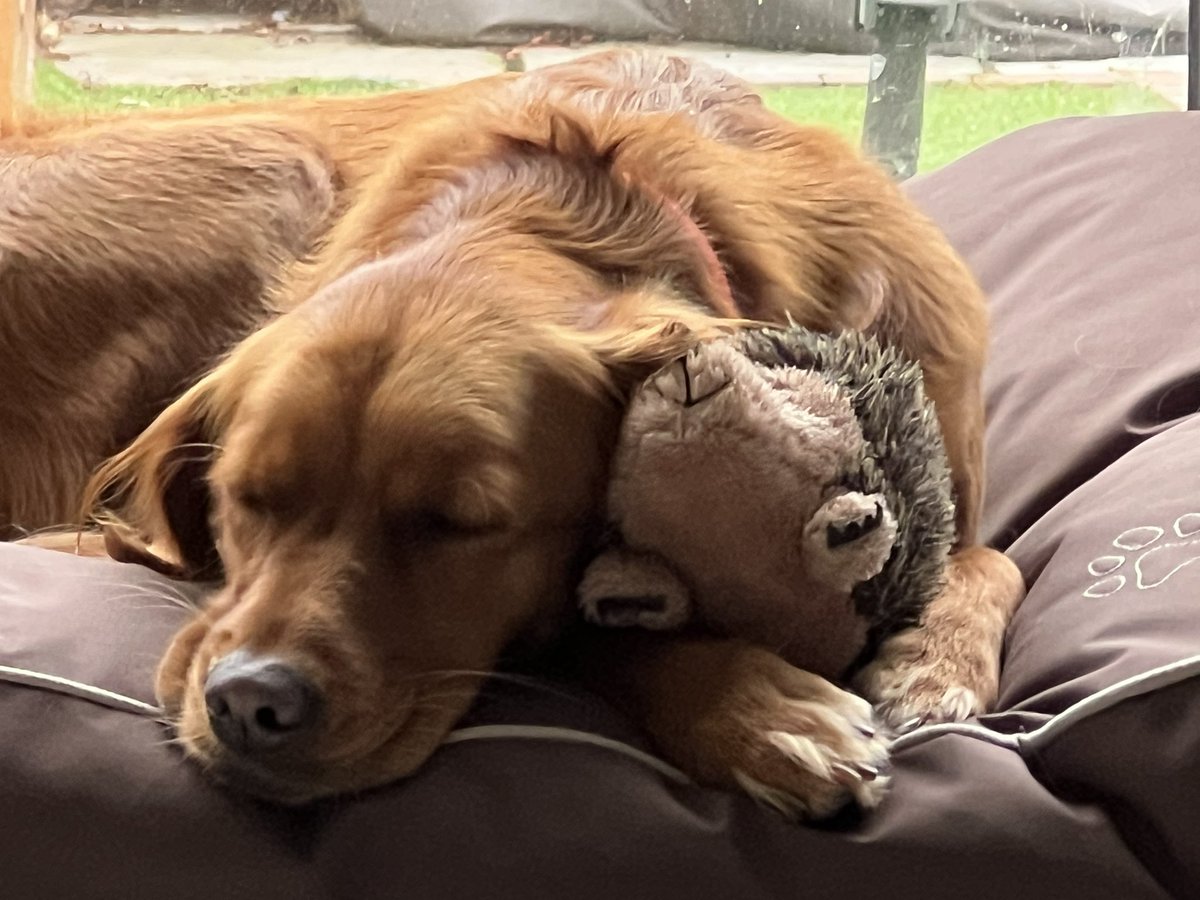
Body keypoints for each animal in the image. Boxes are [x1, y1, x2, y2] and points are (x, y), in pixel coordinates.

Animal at [11, 52, 1022, 820]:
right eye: (243, 497)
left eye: (459, 524)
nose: (251, 702)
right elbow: (594, 624)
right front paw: (754, 706)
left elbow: (988, 560)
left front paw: (929, 665)